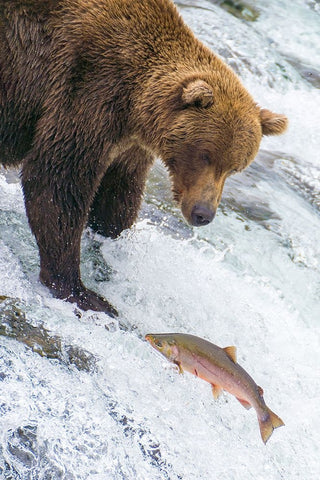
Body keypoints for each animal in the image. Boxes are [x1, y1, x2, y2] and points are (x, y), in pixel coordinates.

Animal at [0, 0, 288, 316]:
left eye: (234, 168)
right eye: (205, 155)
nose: (203, 214)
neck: (135, 104)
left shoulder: (129, 144)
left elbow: (117, 195)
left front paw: (115, 245)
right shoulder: (87, 89)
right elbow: (56, 179)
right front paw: (81, 291)